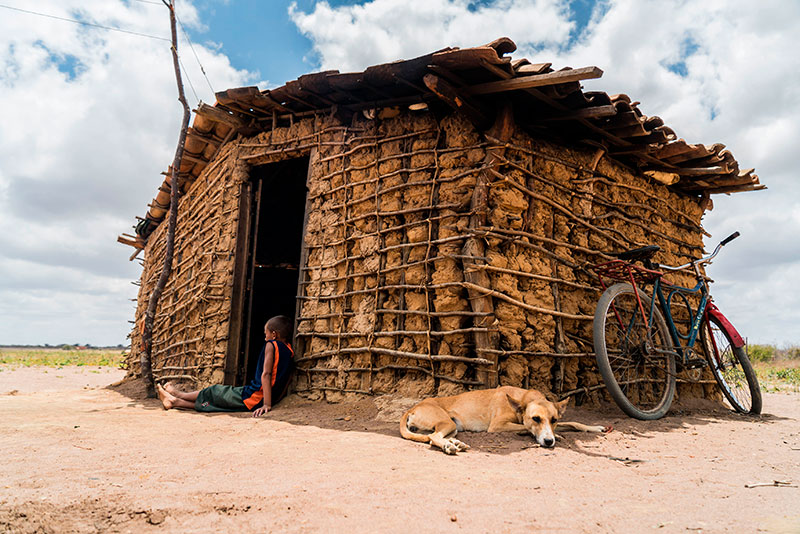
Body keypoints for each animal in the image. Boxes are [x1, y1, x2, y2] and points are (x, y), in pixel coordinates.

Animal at [396, 386, 608, 456]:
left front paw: (594, 427)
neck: (522, 398)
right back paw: (449, 446)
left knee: (433, 436)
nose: (549, 442)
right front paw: (558, 436)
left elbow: (573, 423)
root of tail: (412, 408)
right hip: (447, 422)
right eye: (536, 418)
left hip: (453, 425)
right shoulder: (498, 425)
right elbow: (525, 427)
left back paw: (455, 443)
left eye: (554, 419)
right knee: (433, 437)